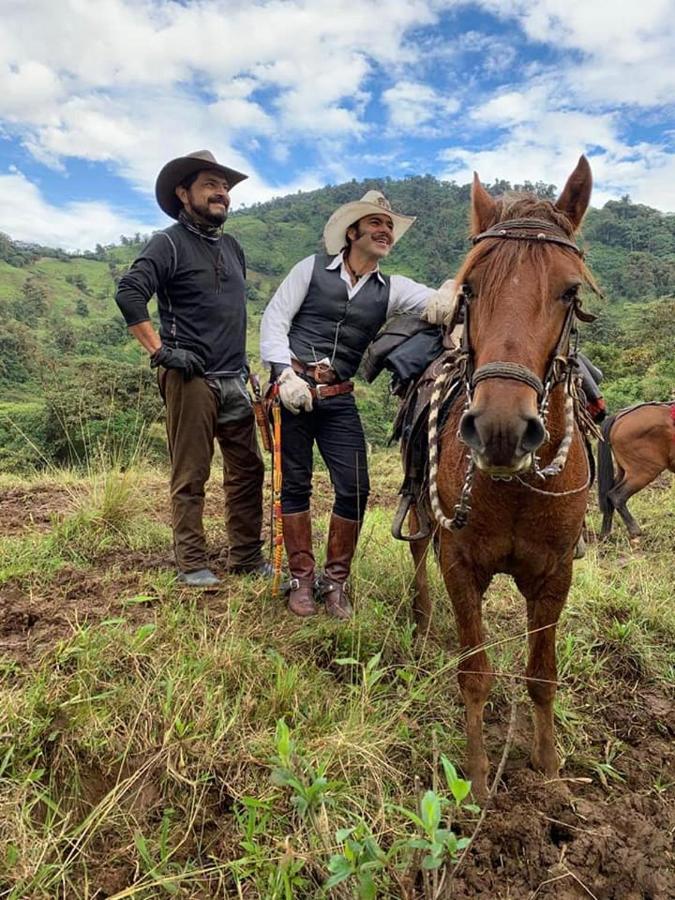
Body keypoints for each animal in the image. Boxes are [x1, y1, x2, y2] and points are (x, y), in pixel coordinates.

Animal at [410, 158, 600, 800]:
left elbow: (542, 675)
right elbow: (475, 672)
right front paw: (472, 778)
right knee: (417, 552)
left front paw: (550, 770)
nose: (500, 429)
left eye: (570, 291)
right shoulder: (460, 563)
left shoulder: (555, 573)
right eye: (468, 289)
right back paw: (421, 623)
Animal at [600, 402, 672, 540]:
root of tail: (619, 416)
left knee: (608, 494)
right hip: (643, 472)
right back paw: (635, 531)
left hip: (624, 471)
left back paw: (606, 534)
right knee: (616, 495)